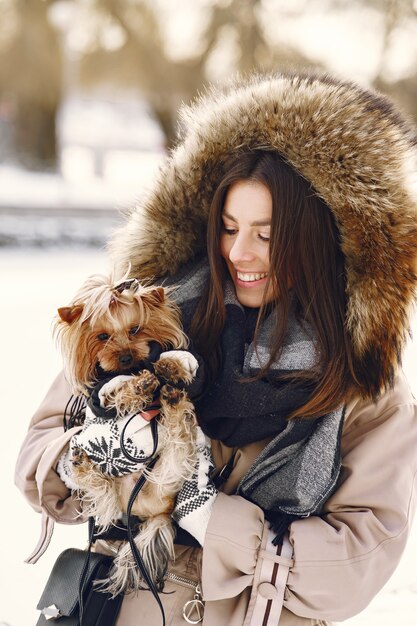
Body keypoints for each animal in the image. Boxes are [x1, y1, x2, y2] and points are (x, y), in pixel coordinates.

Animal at [54, 274, 201, 596]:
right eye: (101, 336)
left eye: (135, 329)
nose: (125, 357)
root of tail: (153, 513)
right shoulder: (102, 394)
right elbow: (119, 390)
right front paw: (139, 386)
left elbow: (170, 364)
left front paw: (169, 367)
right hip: (109, 493)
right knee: (101, 493)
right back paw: (82, 463)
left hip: (168, 472)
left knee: (181, 439)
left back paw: (174, 401)